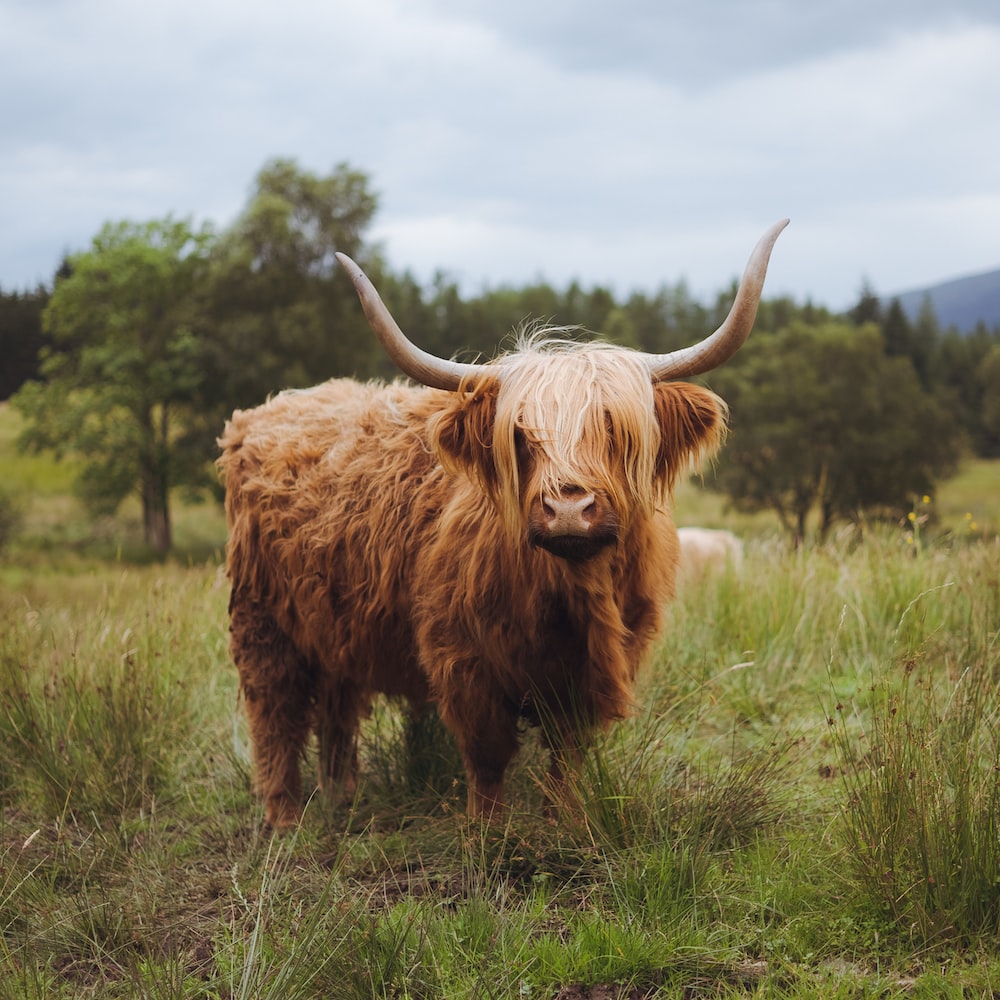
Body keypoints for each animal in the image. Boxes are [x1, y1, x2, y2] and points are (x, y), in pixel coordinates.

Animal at [218, 220, 788, 829]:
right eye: (519, 433)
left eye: (614, 428)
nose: (568, 509)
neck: (570, 596)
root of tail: (271, 409)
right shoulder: (464, 661)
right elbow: (487, 756)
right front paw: (488, 835)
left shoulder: (595, 671)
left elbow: (567, 756)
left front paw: (567, 822)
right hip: (262, 622)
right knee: (274, 715)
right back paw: (284, 820)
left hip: (334, 624)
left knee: (337, 708)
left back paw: (341, 799)